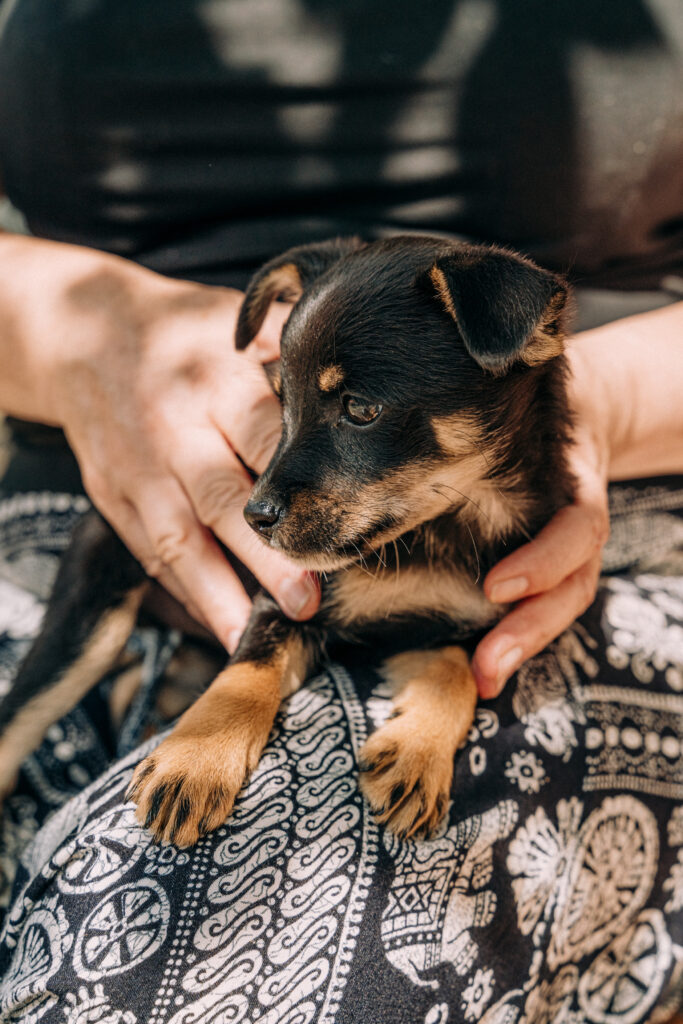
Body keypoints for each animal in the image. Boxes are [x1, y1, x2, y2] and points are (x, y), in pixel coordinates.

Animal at [0, 235, 574, 846]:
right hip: (92, 613)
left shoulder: (450, 622)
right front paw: (196, 759)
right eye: (281, 404)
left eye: (360, 409)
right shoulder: (287, 598)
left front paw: (417, 755)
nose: (253, 517)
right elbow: (249, 669)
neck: (445, 527)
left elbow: (454, 676)